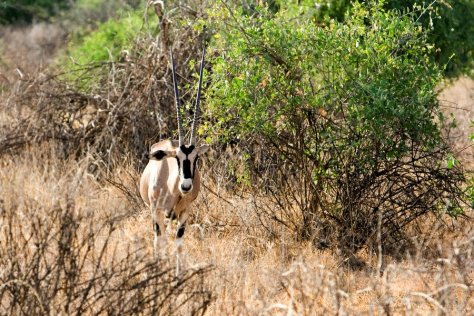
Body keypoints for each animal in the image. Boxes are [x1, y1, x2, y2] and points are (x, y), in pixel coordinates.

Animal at [140, 48, 208, 256]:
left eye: (196, 158)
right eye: (177, 158)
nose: (186, 186)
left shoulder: (185, 213)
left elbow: (178, 244)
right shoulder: (157, 212)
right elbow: (159, 243)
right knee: (159, 240)